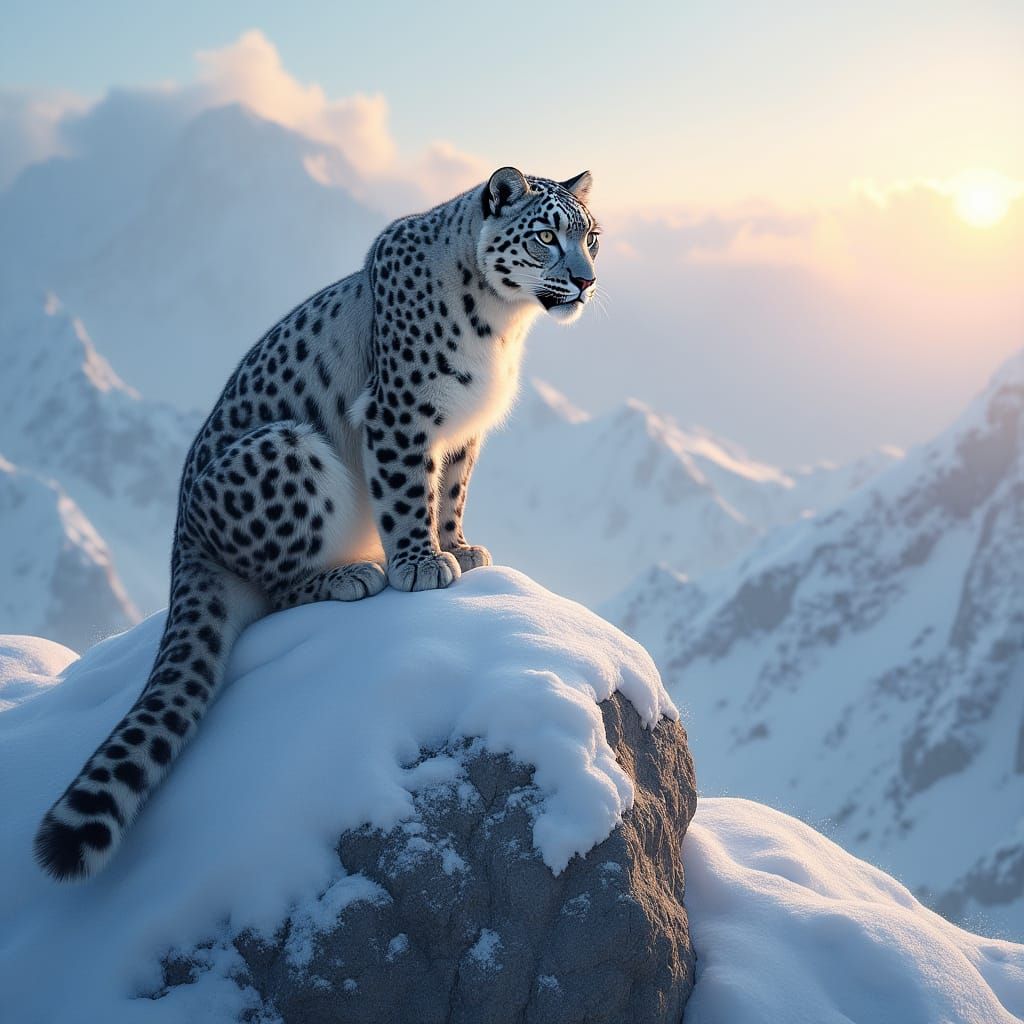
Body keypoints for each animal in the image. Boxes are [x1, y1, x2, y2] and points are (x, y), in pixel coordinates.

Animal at [35, 166, 600, 880]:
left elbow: (450, 494)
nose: (585, 280)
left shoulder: (463, 433)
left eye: (592, 237)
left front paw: (460, 549)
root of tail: (180, 537)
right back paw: (351, 576)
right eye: (547, 235)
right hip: (290, 449)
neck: (504, 328)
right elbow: (408, 495)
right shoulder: (399, 415)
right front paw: (420, 566)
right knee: (277, 588)